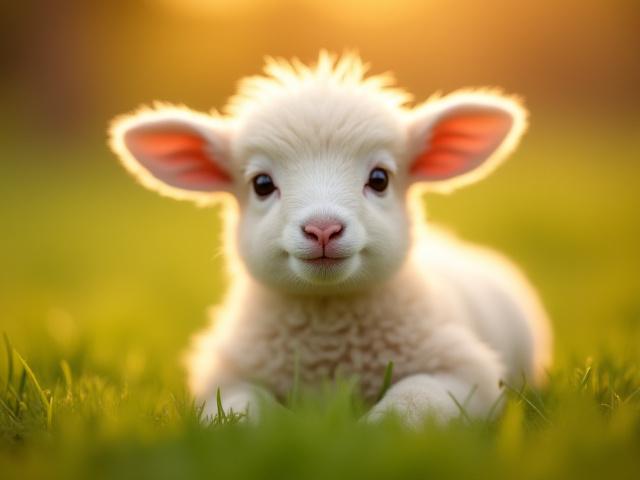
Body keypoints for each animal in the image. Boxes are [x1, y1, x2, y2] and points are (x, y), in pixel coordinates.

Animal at [108, 52, 552, 427]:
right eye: (262, 184)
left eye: (380, 178)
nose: (323, 229)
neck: (327, 328)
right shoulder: (225, 376)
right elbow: (239, 409)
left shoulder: (465, 370)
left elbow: (413, 399)